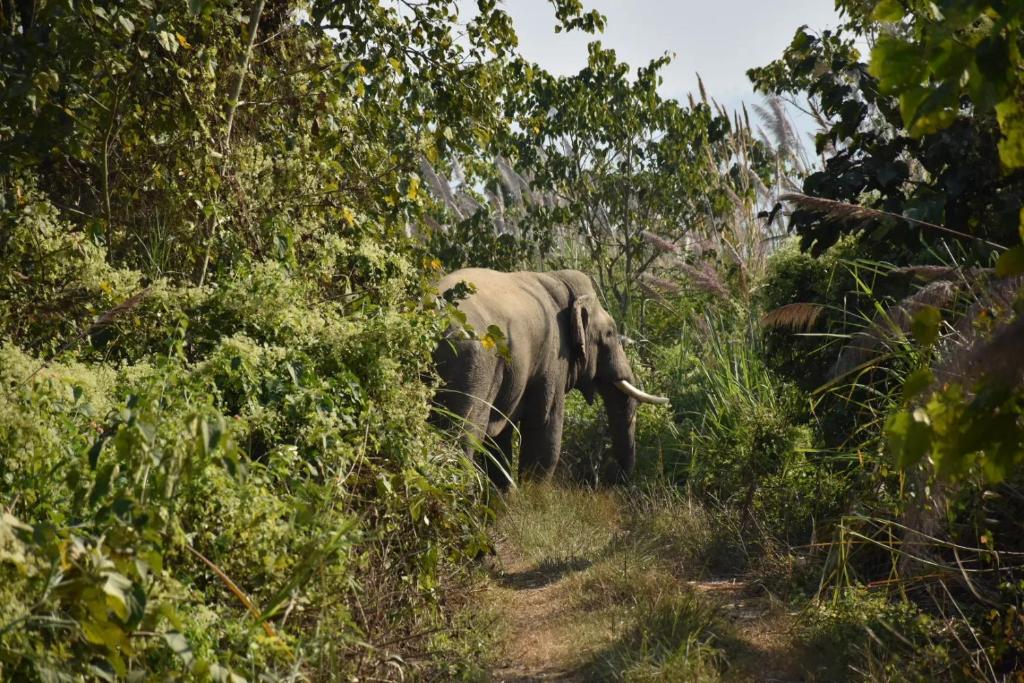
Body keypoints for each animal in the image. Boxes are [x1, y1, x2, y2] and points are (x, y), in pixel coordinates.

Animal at [432, 268, 668, 488]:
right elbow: (544, 430)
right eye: (610, 333)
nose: (614, 478)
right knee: (463, 437)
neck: (558, 280)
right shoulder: (553, 358)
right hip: (472, 370)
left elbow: (500, 439)